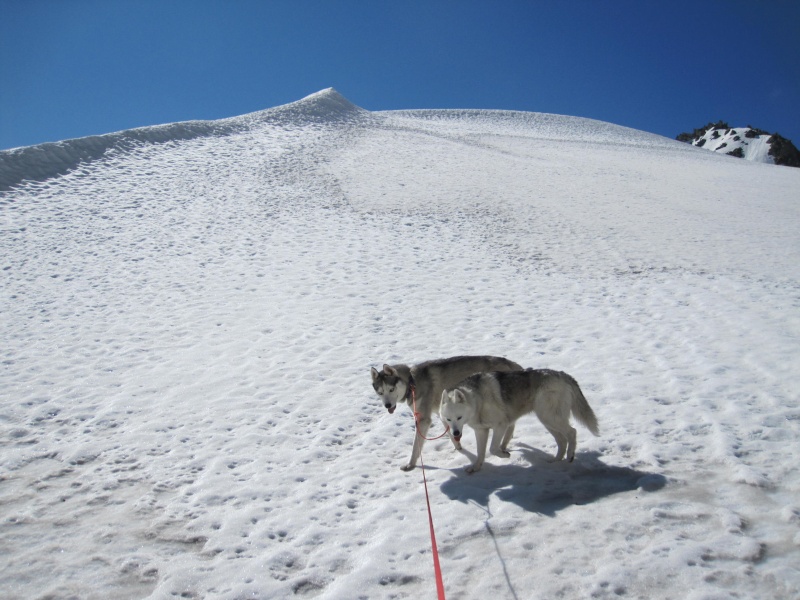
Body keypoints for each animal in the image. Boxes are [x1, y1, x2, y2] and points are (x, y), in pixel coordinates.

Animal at [372, 354, 520, 472]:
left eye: (391, 389)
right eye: (380, 393)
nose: (387, 405)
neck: (411, 381)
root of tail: (510, 362)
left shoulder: (423, 419)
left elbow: (416, 447)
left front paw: (411, 464)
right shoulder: (443, 414)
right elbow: (450, 432)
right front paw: (458, 447)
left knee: (510, 423)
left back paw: (504, 444)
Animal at [438, 368, 600, 472]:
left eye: (459, 417)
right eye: (448, 419)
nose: (456, 434)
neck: (477, 400)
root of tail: (562, 374)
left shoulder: (501, 425)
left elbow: (493, 448)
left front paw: (505, 455)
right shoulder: (481, 431)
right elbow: (480, 453)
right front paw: (476, 468)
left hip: (550, 418)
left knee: (572, 432)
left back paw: (570, 456)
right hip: (548, 421)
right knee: (562, 440)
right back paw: (555, 461)